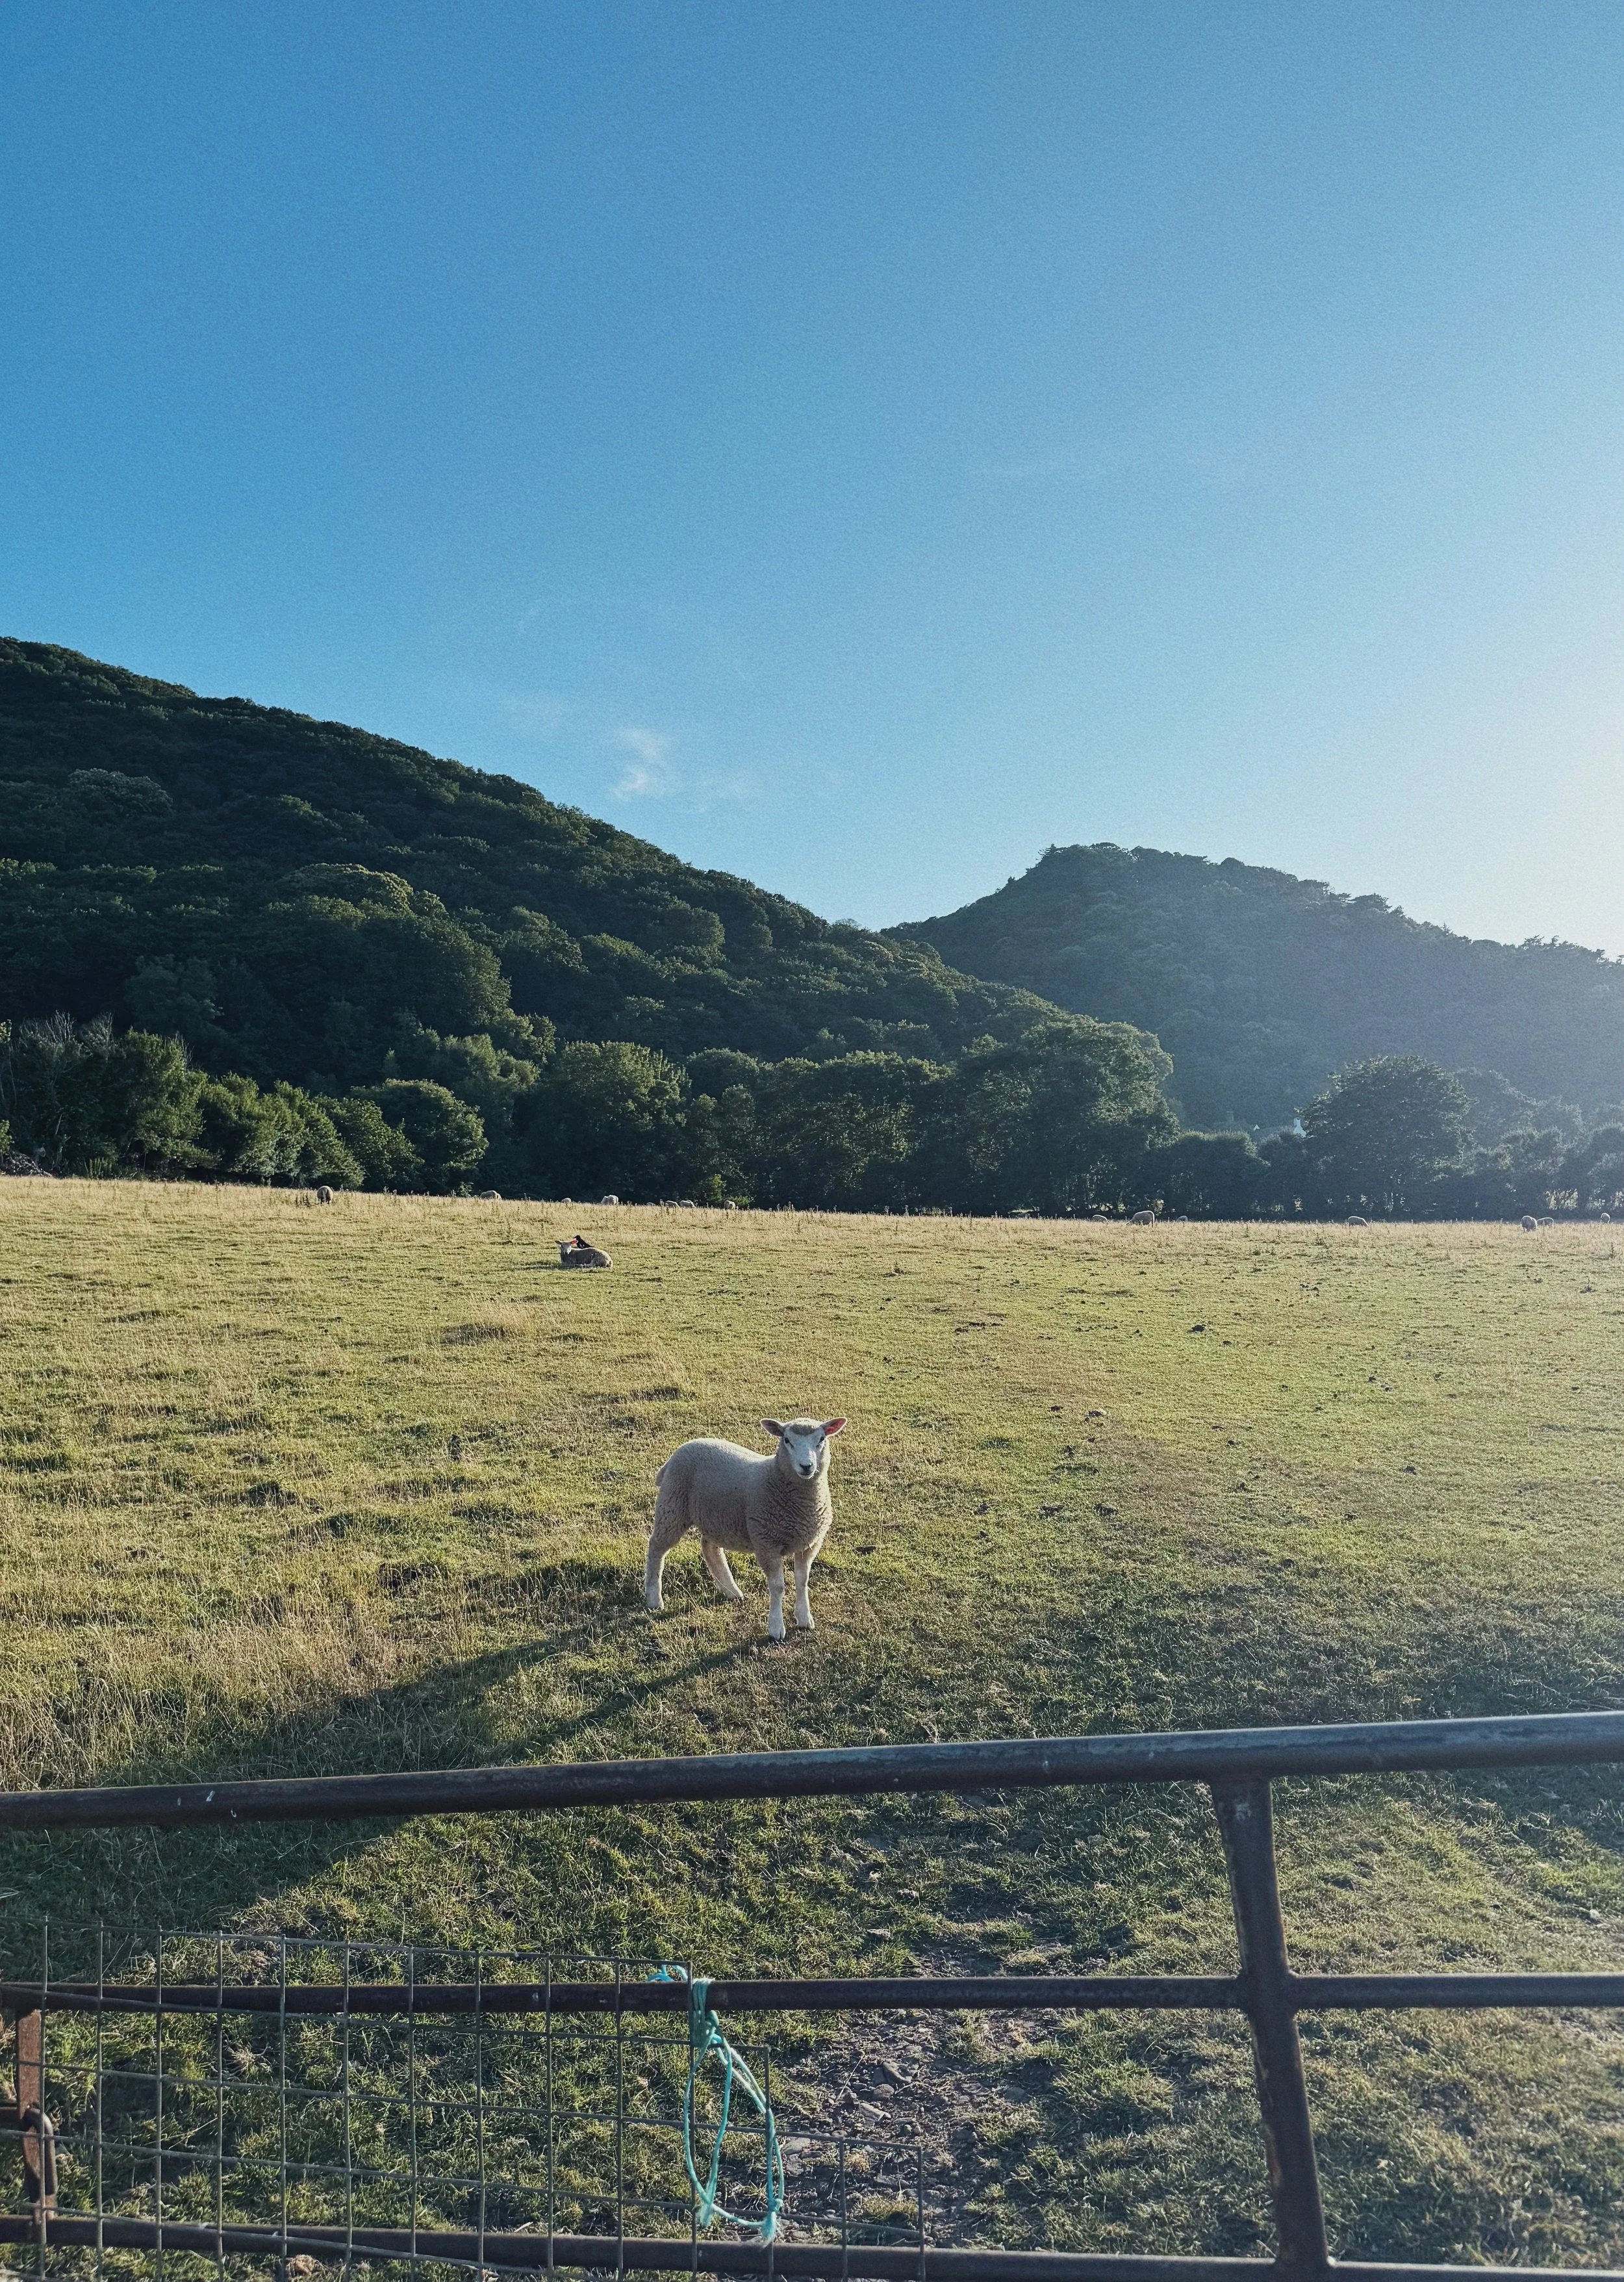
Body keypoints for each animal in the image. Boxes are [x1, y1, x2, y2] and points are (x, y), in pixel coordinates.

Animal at [645, 1417, 846, 1642]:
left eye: (821, 1439)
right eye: (787, 1440)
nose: (806, 1466)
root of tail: (678, 1453)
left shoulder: (809, 1544)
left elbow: (802, 1581)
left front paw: (804, 1619)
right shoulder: (767, 1543)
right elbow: (778, 1586)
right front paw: (776, 1628)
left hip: (716, 1518)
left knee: (710, 1549)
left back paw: (731, 1591)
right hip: (672, 1507)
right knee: (656, 1549)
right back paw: (654, 1599)